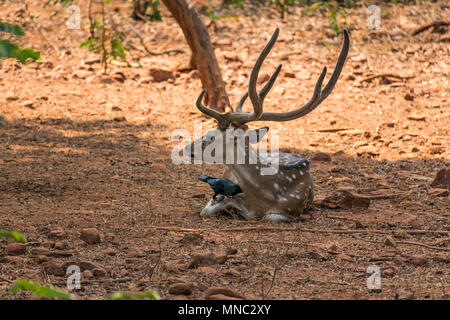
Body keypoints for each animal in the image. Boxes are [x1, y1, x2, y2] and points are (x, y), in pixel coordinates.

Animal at [186, 28, 352, 221]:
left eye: (211, 136)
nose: (187, 149)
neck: (266, 193)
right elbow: (208, 209)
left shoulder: (289, 212)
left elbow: (269, 216)